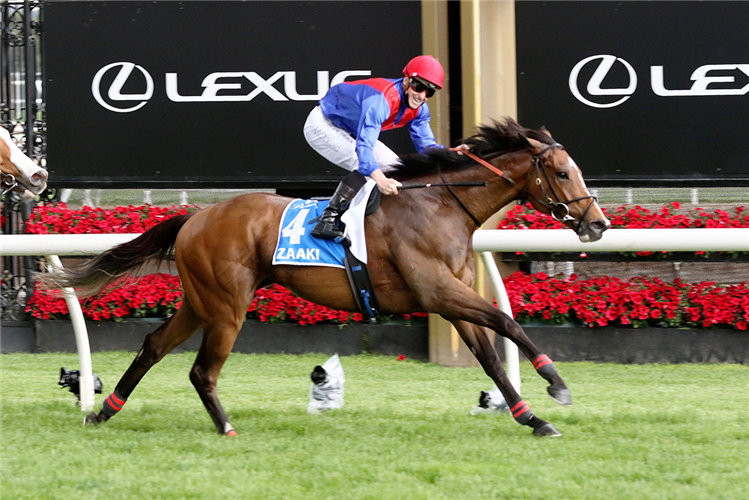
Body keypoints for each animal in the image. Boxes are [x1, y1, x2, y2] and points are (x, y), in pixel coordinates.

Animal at [45, 118, 608, 438]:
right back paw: (225, 427)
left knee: (154, 346)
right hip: (227, 306)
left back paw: (103, 413)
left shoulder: (451, 298)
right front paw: (557, 385)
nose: (597, 223)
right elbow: (507, 324)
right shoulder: (439, 291)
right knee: (202, 371)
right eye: (562, 173)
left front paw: (533, 418)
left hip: (200, 301)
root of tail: (196, 218)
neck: (442, 205)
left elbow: (491, 356)